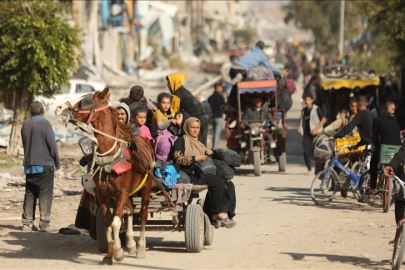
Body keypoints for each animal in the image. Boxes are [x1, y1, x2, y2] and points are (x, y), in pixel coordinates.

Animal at [55, 87, 153, 264]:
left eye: (85, 100)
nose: (59, 108)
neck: (110, 155)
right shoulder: (103, 193)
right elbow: (108, 222)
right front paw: (110, 254)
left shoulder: (122, 192)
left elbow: (116, 222)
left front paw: (118, 253)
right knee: (130, 209)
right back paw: (130, 244)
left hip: (146, 187)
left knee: (142, 213)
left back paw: (141, 247)